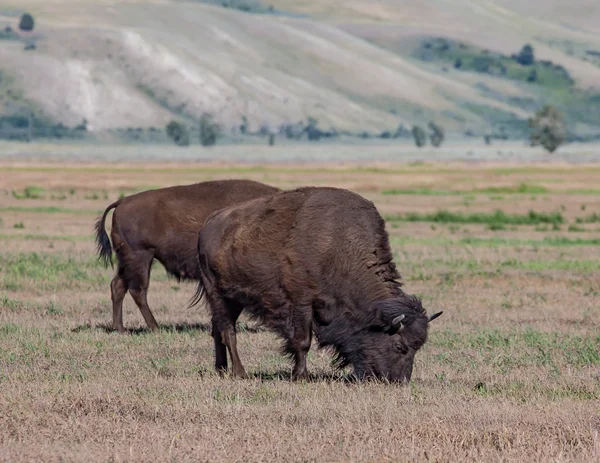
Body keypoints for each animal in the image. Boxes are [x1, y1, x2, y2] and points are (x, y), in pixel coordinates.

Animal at [94, 179, 282, 334]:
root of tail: (121, 202)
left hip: (128, 261)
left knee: (118, 286)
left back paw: (121, 328)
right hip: (141, 258)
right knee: (138, 290)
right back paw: (155, 328)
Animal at [192, 185, 440, 384]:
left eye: (417, 348)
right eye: (400, 346)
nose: (399, 380)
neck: (337, 247)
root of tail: (208, 224)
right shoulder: (301, 303)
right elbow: (302, 341)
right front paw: (302, 376)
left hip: (233, 300)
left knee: (217, 330)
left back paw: (221, 369)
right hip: (218, 294)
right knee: (227, 331)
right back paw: (239, 372)